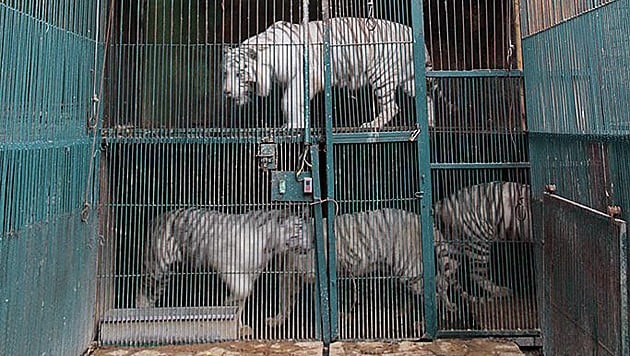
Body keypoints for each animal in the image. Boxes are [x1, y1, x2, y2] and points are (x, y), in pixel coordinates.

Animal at [225, 17, 436, 129]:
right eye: (225, 73)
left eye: (239, 74)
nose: (226, 93)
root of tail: (413, 34)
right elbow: (293, 102)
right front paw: (298, 122)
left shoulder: (307, 75)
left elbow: (288, 100)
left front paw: (293, 125)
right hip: (410, 79)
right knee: (426, 96)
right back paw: (430, 122)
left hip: (381, 74)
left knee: (392, 106)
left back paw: (372, 125)